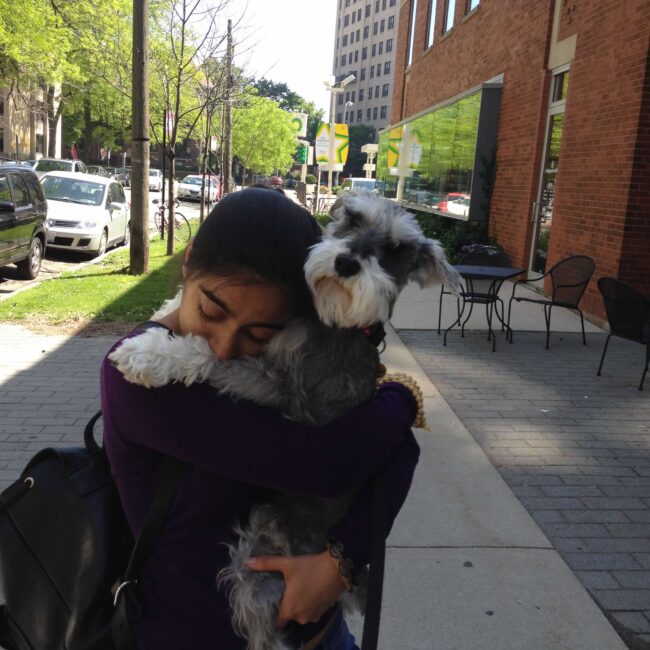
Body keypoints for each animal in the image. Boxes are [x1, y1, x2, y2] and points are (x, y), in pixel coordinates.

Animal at [109, 191, 458, 648]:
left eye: (396, 250)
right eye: (353, 218)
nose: (347, 263)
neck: (333, 321)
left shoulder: (282, 392)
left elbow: (212, 358)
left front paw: (147, 354)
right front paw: (165, 312)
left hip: (260, 567)